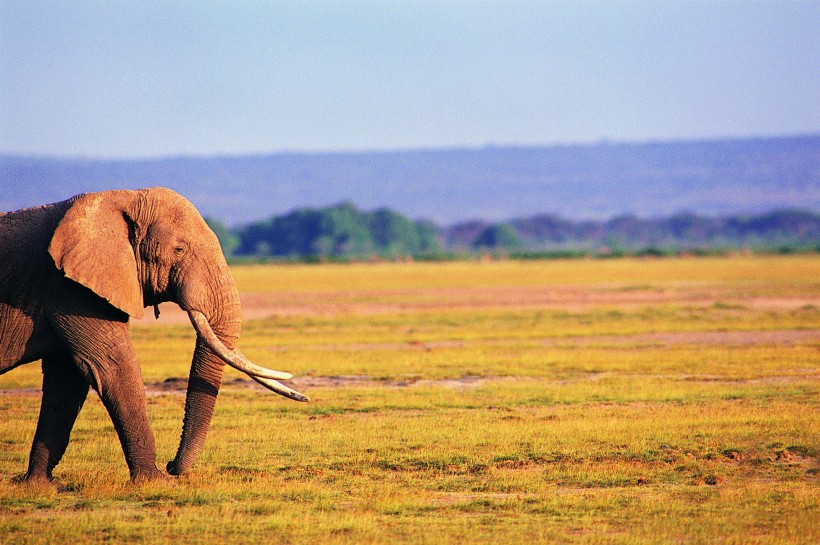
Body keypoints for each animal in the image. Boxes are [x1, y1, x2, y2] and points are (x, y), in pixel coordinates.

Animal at [0, 186, 308, 480]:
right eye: (179, 250)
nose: (173, 466)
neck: (121, 197)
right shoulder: (69, 288)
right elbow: (112, 367)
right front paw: (154, 480)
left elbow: (67, 379)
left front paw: (39, 484)